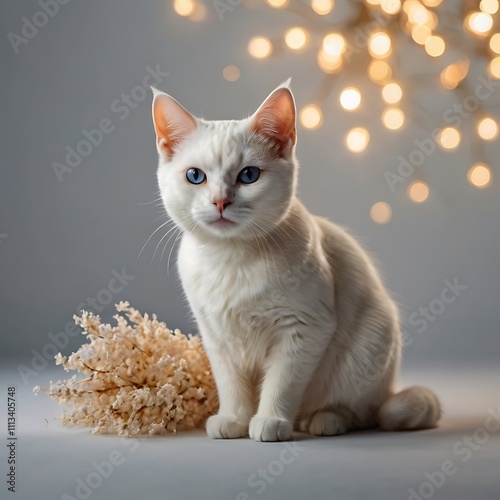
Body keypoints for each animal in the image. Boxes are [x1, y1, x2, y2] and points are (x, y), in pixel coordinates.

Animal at [150, 82, 440, 442]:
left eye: (249, 175)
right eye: (195, 176)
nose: (220, 201)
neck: (231, 259)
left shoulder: (304, 328)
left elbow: (281, 383)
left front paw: (270, 420)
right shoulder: (216, 337)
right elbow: (231, 384)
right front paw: (233, 418)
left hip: (369, 348)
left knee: (362, 411)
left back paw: (326, 419)